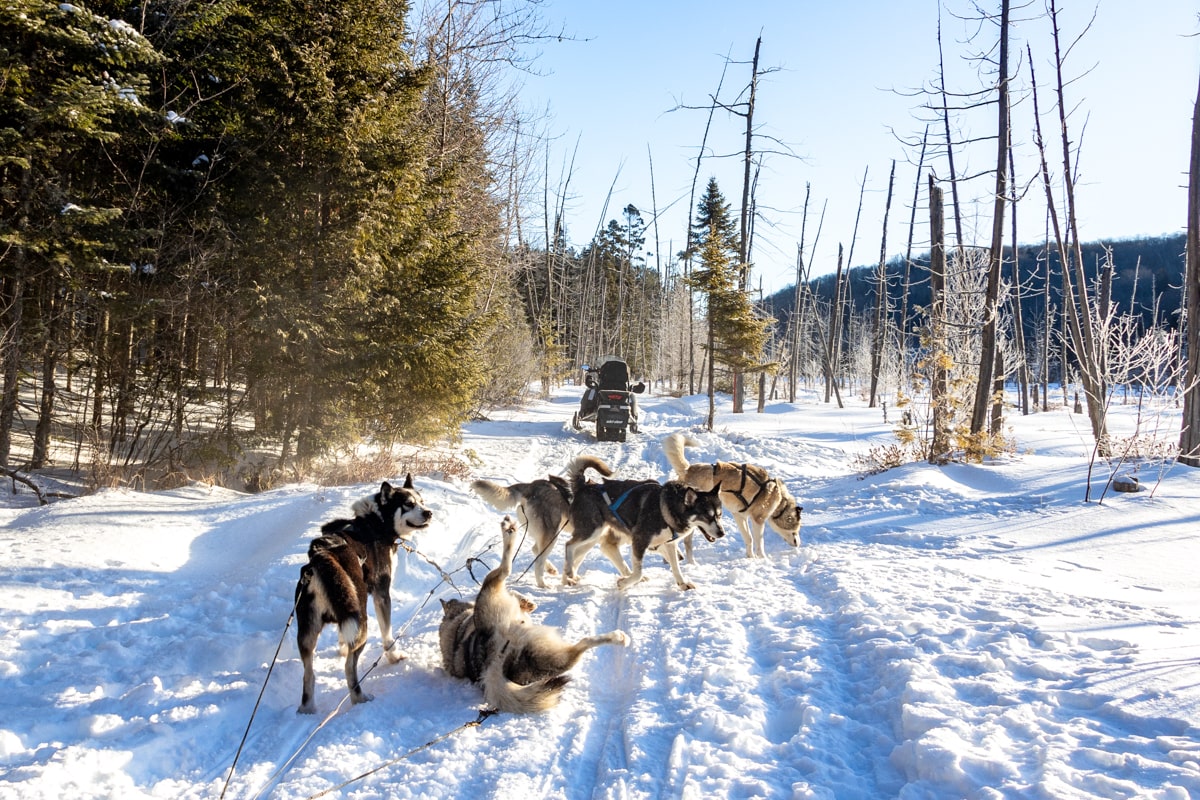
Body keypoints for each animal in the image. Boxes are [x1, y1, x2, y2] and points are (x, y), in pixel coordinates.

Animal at [294, 474, 434, 714]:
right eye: (408, 504)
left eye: (422, 501)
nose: (429, 512)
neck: (377, 523)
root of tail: (322, 557)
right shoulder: (381, 594)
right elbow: (387, 634)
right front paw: (394, 656)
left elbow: (343, 639)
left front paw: (342, 647)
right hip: (361, 622)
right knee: (349, 668)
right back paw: (360, 697)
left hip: (307, 633)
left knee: (308, 674)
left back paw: (307, 709)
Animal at [439, 513, 628, 714]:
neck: (458, 623)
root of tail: (492, 663)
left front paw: (526, 602)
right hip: (491, 590)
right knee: (504, 569)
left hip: (551, 659)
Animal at [472, 470, 614, 587]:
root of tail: (531, 485)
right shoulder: (588, 537)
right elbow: (574, 557)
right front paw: (568, 579)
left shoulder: (590, 539)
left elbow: (577, 559)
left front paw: (570, 577)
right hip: (553, 533)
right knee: (539, 559)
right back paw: (543, 584)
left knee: (536, 549)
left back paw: (550, 569)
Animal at [662, 434, 801, 561]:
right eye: (796, 530)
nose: (798, 544)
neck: (779, 499)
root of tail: (688, 470)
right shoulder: (758, 520)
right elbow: (757, 541)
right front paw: (762, 558)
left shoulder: (740, 516)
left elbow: (748, 538)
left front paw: (750, 556)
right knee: (685, 542)